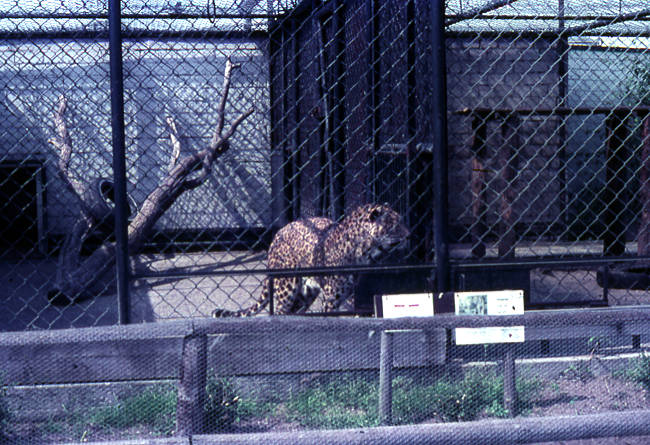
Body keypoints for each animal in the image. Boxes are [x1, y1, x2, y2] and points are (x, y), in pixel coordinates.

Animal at [211, 203, 404, 318]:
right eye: (395, 226)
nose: (408, 235)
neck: (364, 252)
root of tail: (277, 236)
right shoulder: (331, 301)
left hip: (304, 295)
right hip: (286, 289)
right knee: (279, 312)